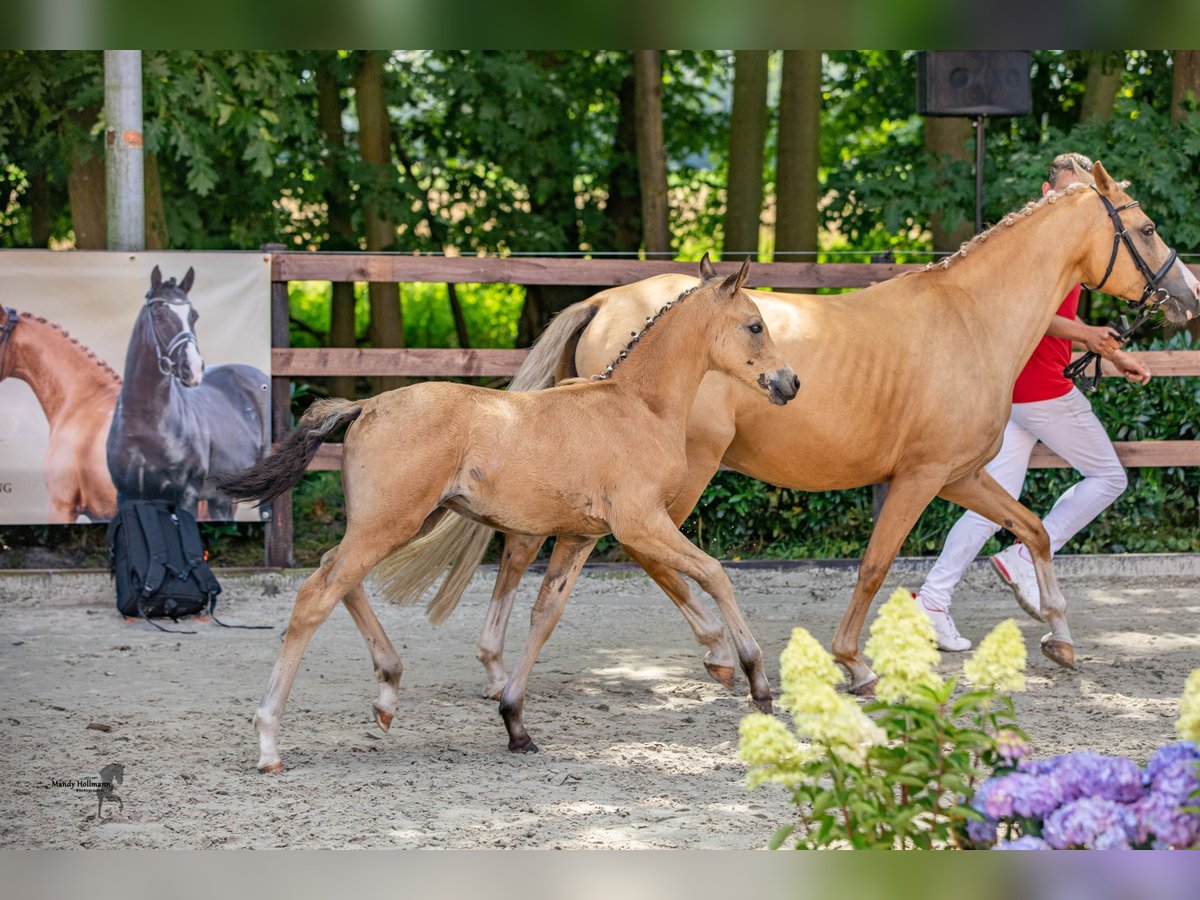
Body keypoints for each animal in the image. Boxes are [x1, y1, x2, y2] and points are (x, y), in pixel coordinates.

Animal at [107, 266, 270, 520]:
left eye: (194, 316)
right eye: (159, 316)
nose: (192, 368)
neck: (147, 425)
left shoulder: (187, 494)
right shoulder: (128, 495)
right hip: (220, 498)